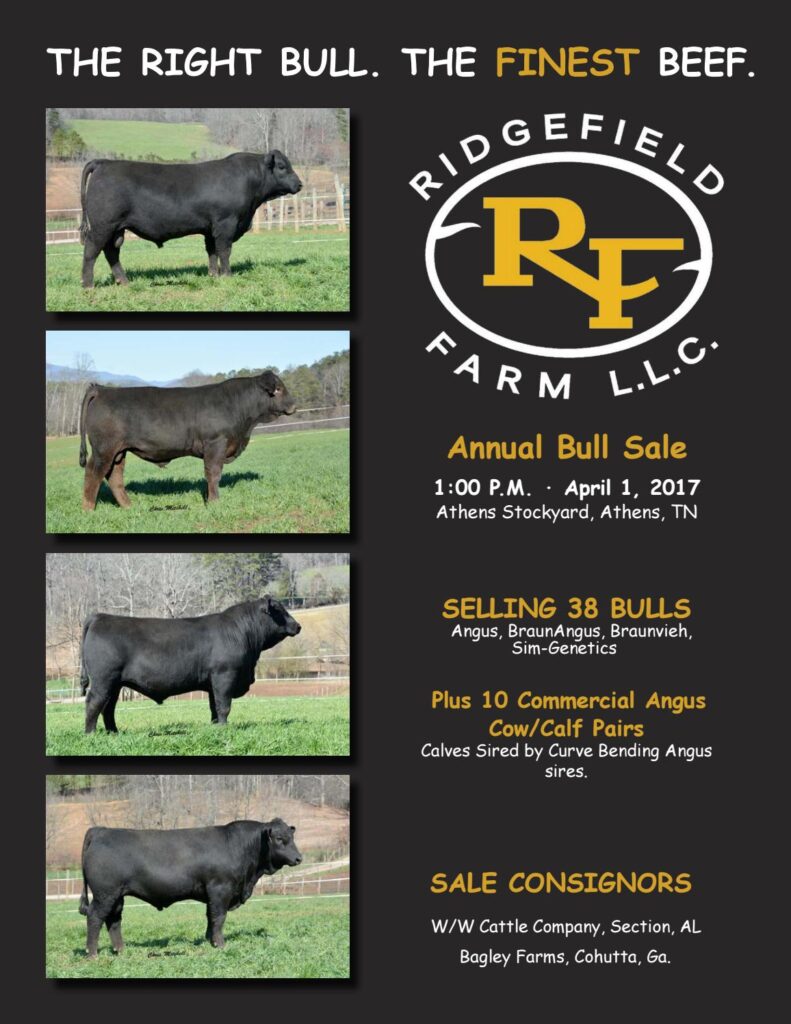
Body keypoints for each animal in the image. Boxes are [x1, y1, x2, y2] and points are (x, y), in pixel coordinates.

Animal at [78, 371, 296, 509]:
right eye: (277, 389)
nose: (294, 405)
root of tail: (103, 389)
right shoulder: (215, 444)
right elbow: (213, 474)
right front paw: (214, 503)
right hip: (104, 449)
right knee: (93, 473)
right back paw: (88, 510)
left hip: (118, 451)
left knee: (114, 477)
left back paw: (129, 507)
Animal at [79, 150, 302, 287]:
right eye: (282, 166)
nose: (300, 184)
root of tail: (104, 162)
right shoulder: (226, 224)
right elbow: (225, 251)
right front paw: (227, 276)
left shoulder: (210, 228)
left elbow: (212, 252)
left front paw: (213, 275)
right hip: (102, 226)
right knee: (91, 251)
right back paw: (88, 285)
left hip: (116, 229)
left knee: (111, 252)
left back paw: (123, 282)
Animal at [79, 818, 303, 957]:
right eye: (280, 839)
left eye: (292, 838)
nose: (299, 858)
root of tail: (101, 830)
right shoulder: (220, 889)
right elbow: (218, 917)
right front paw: (220, 945)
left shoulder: (212, 894)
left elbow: (210, 918)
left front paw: (210, 942)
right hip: (104, 894)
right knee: (95, 918)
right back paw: (92, 954)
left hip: (117, 896)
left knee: (114, 920)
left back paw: (120, 950)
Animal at [80, 596, 302, 734]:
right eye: (279, 609)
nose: (298, 626)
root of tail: (100, 616)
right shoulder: (225, 675)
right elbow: (224, 706)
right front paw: (224, 728)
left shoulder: (213, 682)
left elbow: (214, 707)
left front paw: (215, 727)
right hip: (103, 680)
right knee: (94, 703)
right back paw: (91, 734)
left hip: (115, 684)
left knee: (108, 708)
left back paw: (114, 733)